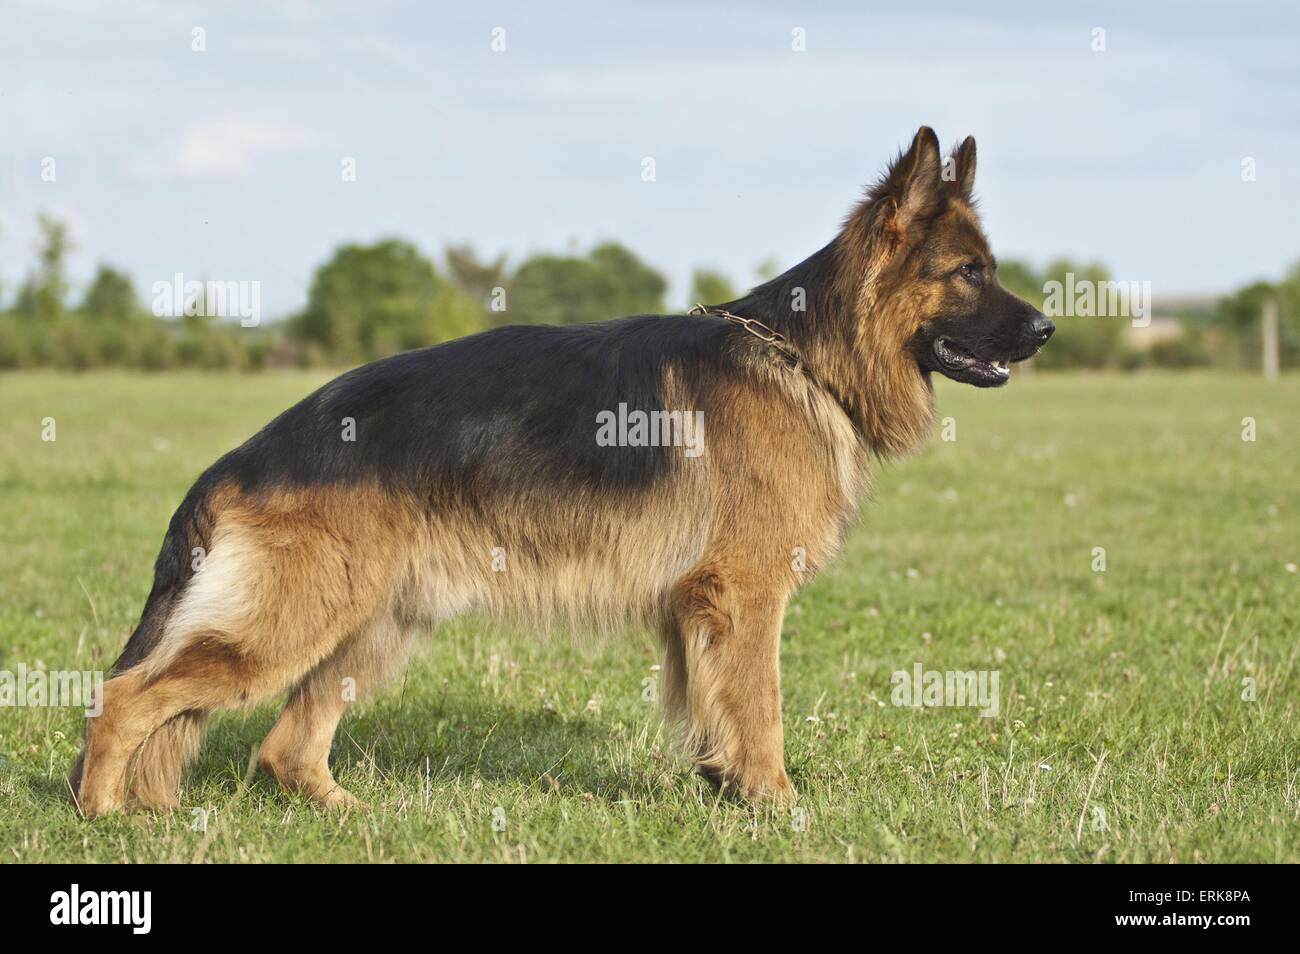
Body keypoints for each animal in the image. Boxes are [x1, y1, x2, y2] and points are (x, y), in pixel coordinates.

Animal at [68, 125, 1045, 816]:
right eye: (970, 271)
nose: (1047, 328)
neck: (805, 354)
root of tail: (239, 458)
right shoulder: (746, 591)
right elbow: (760, 705)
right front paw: (777, 802)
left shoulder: (698, 607)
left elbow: (714, 706)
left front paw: (725, 788)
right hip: (296, 622)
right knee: (123, 696)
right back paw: (104, 815)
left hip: (375, 623)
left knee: (283, 748)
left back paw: (348, 812)